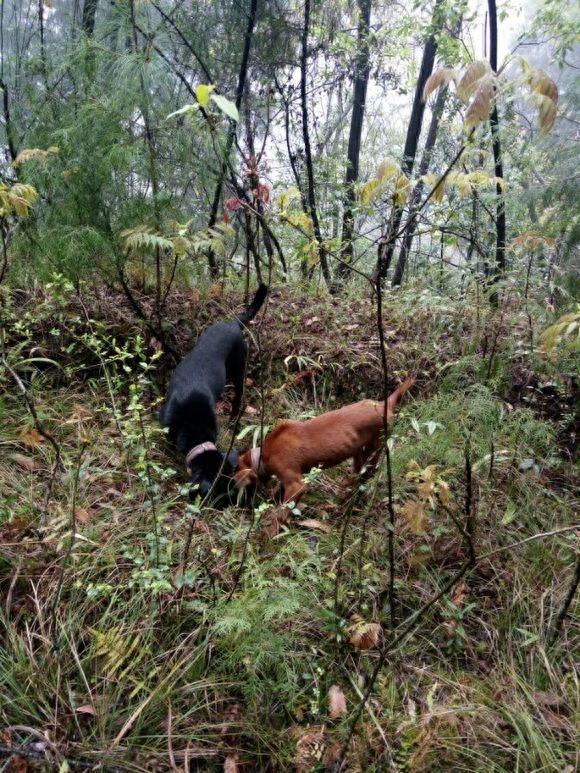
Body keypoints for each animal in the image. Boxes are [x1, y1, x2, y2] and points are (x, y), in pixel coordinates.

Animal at [233, 376, 414, 504]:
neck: (265, 453)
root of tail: (384, 403)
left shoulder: (296, 484)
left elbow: (278, 514)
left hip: (375, 444)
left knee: (371, 468)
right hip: (358, 450)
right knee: (360, 470)